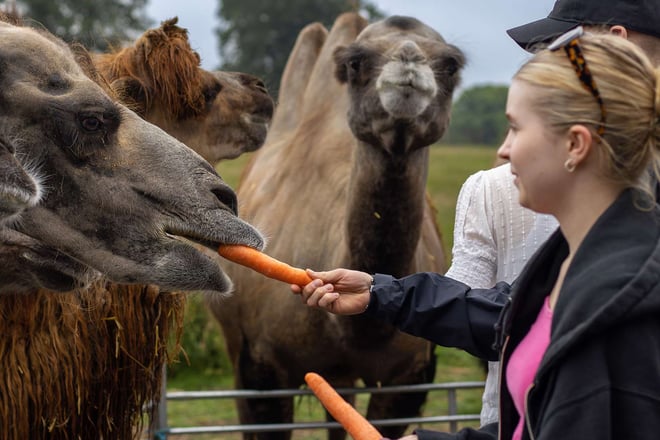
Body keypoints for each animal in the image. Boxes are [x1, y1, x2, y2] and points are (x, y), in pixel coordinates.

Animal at [211, 13, 464, 440]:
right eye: (355, 63)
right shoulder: (263, 365)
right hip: (237, 347)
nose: (408, 61)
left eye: (450, 65)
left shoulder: (408, 377)